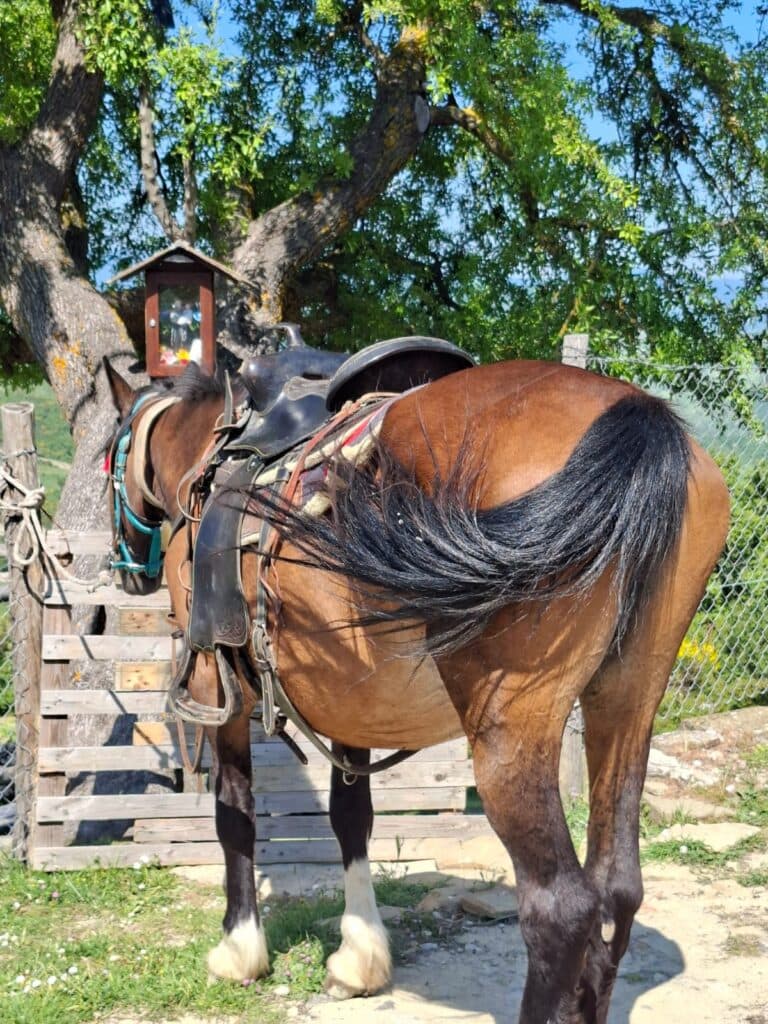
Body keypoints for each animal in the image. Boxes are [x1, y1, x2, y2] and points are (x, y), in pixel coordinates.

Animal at [104, 354, 729, 1024]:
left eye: (109, 456)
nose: (127, 571)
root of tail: (635, 412)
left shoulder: (220, 692)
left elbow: (234, 814)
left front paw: (240, 950)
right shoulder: (349, 701)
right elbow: (351, 818)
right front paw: (360, 959)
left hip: (511, 735)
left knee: (560, 908)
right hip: (628, 704)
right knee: (618, 888)